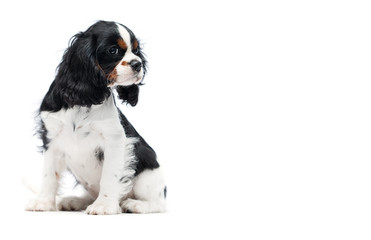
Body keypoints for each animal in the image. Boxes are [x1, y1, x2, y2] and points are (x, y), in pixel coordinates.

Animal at [25, 20, 166, 215]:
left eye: (136, 50)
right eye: (113, 50)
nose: (138, 64)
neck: (83, 101)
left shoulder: (114, 139)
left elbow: (109, 175)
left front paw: (104, 205)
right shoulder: (51, 137)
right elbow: (48, 173)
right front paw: (43, 202)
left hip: (148, 174)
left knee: (159, 203)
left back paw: (135, 205)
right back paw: (74, 201)